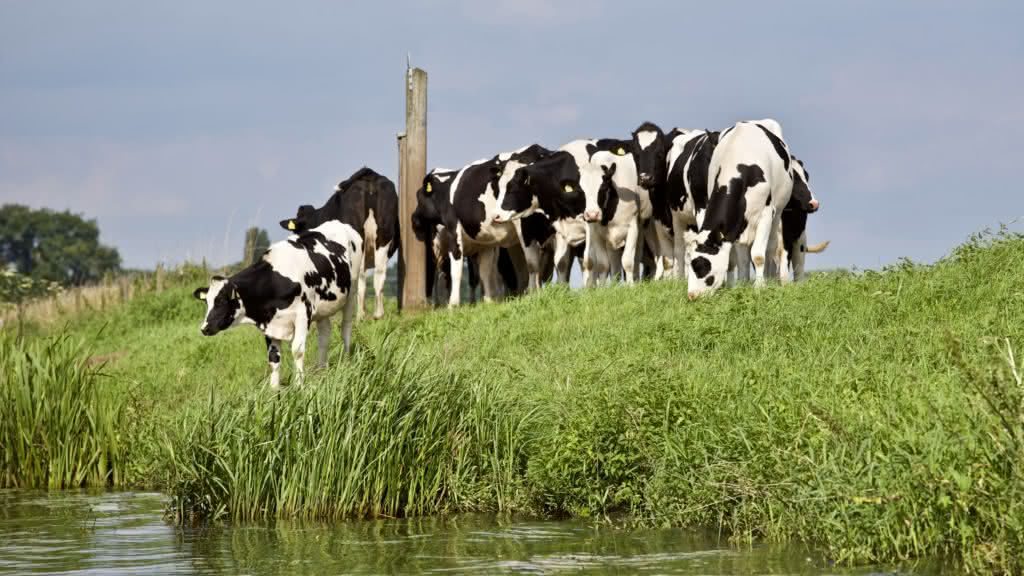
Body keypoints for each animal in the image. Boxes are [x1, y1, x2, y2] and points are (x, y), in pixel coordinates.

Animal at [193, 221, 363, 389]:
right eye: (207, 301)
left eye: (221, 301)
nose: (204, 328)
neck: (275, 281)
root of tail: (339, 223)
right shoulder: (269, 323)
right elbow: (273, 358)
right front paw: (274, 390)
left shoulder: (303, 315)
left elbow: (297, 351)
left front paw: (299, 386)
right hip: (323, 309)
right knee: (324, 335)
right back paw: (321, 370)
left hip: (352, 290)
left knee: (346, 328)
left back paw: (346, 361)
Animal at [279, 167, 398, 320]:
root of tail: (370, 176)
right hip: (383, 237)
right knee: (379, 273)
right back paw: (378, 314)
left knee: (360, 276)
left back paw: (360, 316)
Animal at [687, 119, 813, 298]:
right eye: (691, 263)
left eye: (701, 266)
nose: (692, 295)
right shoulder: (736, 224)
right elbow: (740, 259)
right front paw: (740, 285)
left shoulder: (765, 214)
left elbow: (758, 255)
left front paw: (760, 287)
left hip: (778, 214)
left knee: (772, 249)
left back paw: (770, 279)